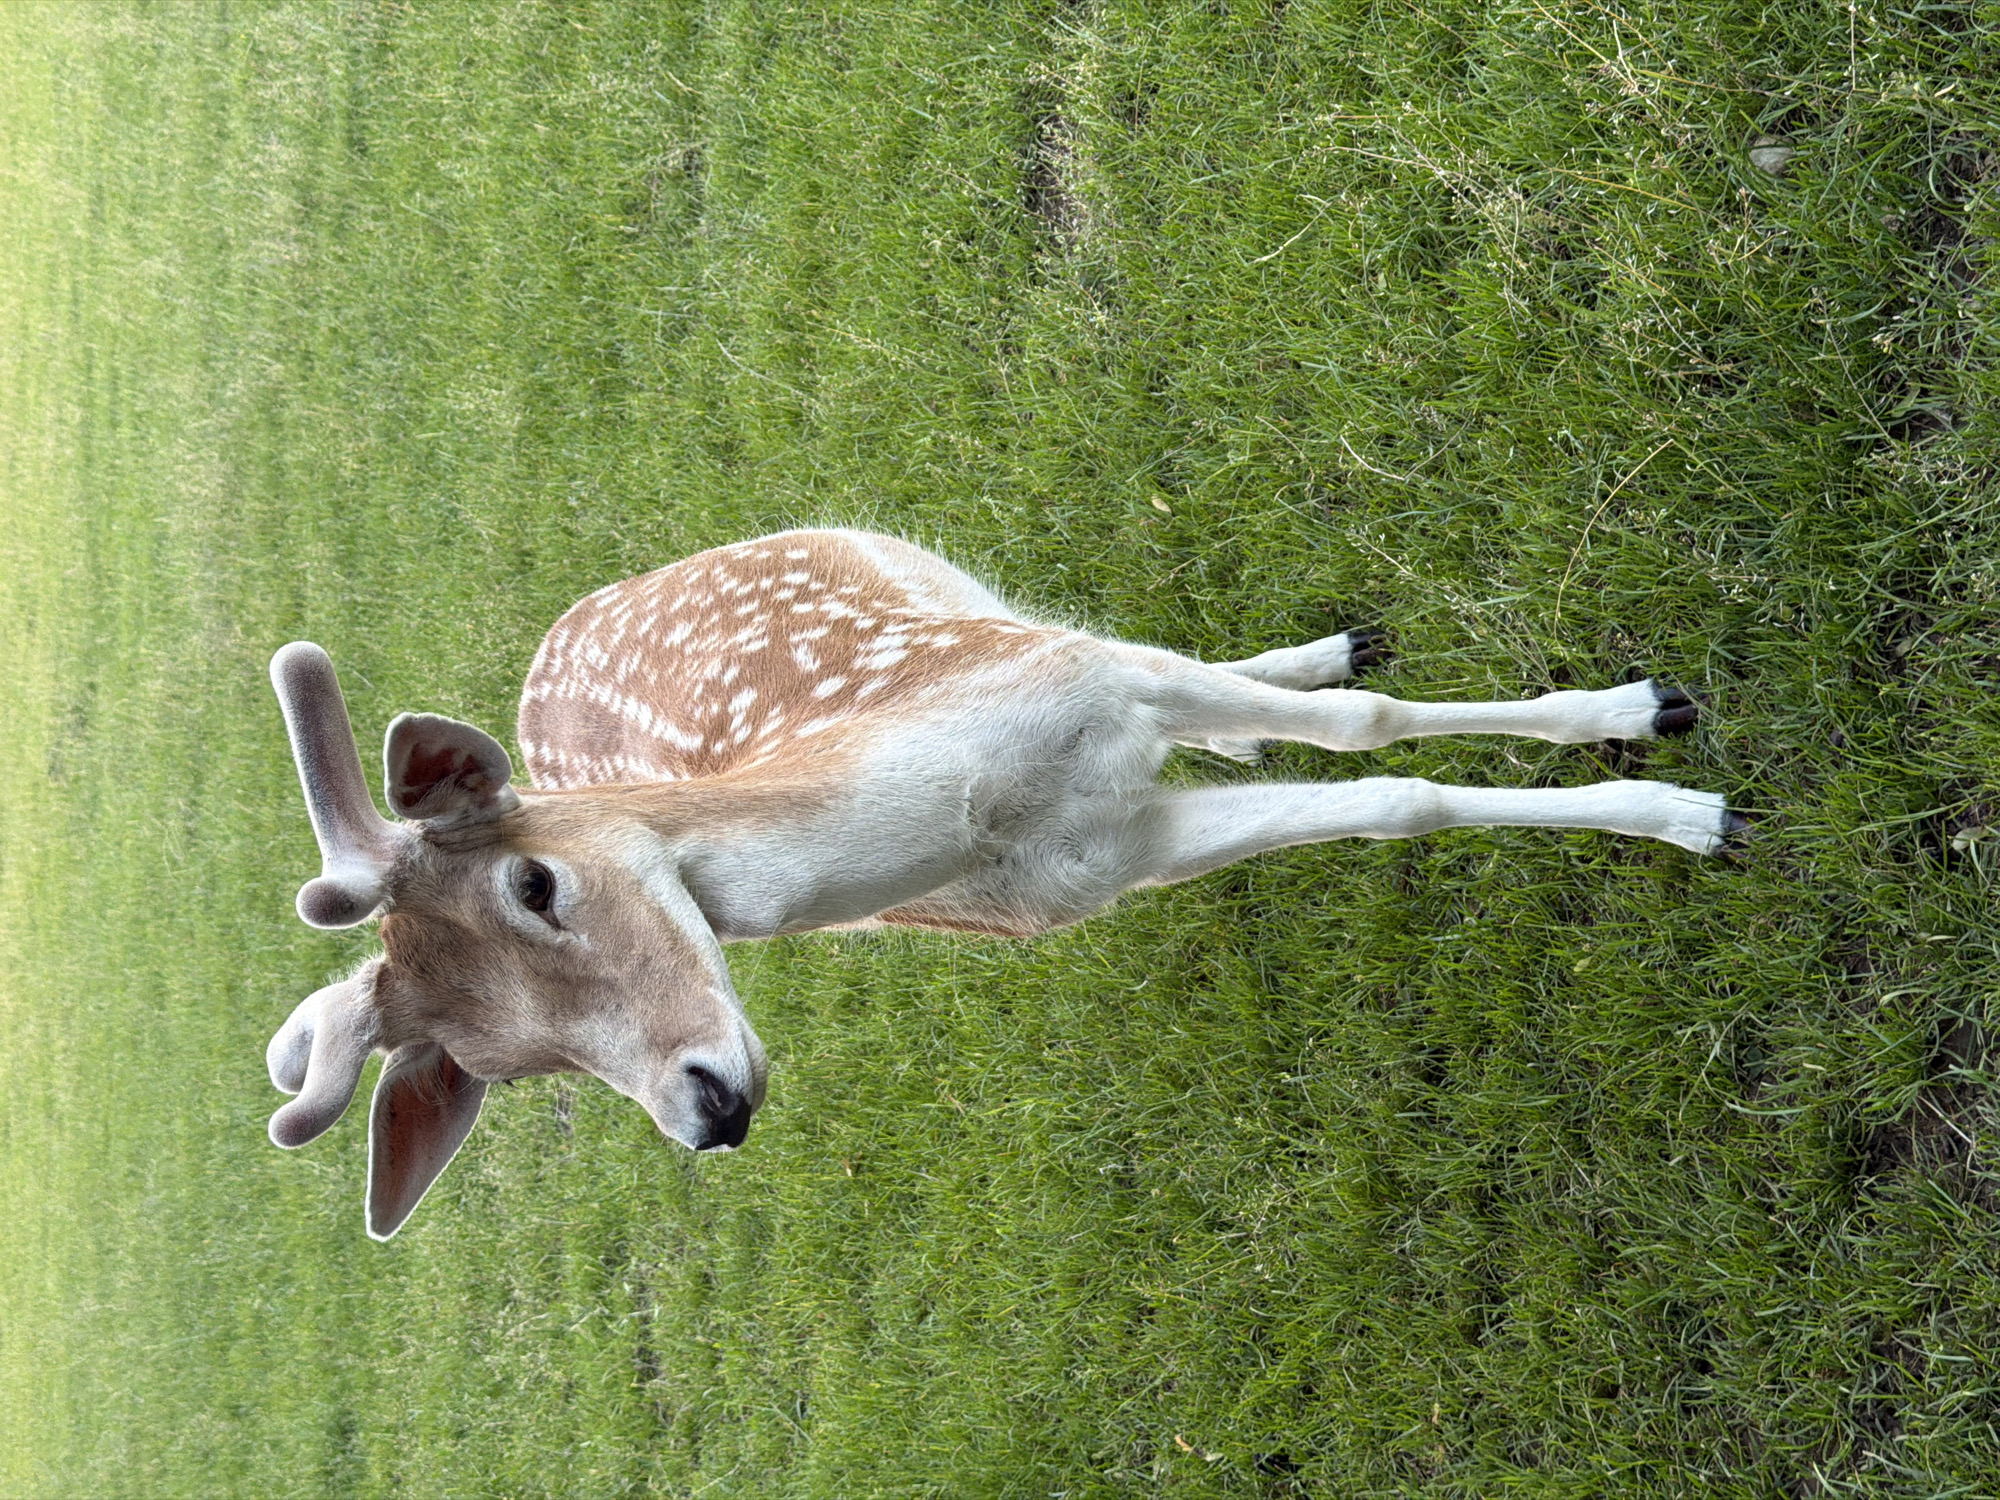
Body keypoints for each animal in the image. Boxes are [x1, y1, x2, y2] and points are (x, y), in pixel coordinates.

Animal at [265, 529, 1743, 1238]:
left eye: (537, 883)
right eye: (505, 1067)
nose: (706, 1110)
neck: (983, 808)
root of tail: (549, 650)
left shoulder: (1097, 686)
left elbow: (1369, 735)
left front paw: (1657, 743)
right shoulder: (1110, 863)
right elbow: (1384, 799)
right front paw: (1674, 797)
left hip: (960, 592)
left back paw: (1317, 657)